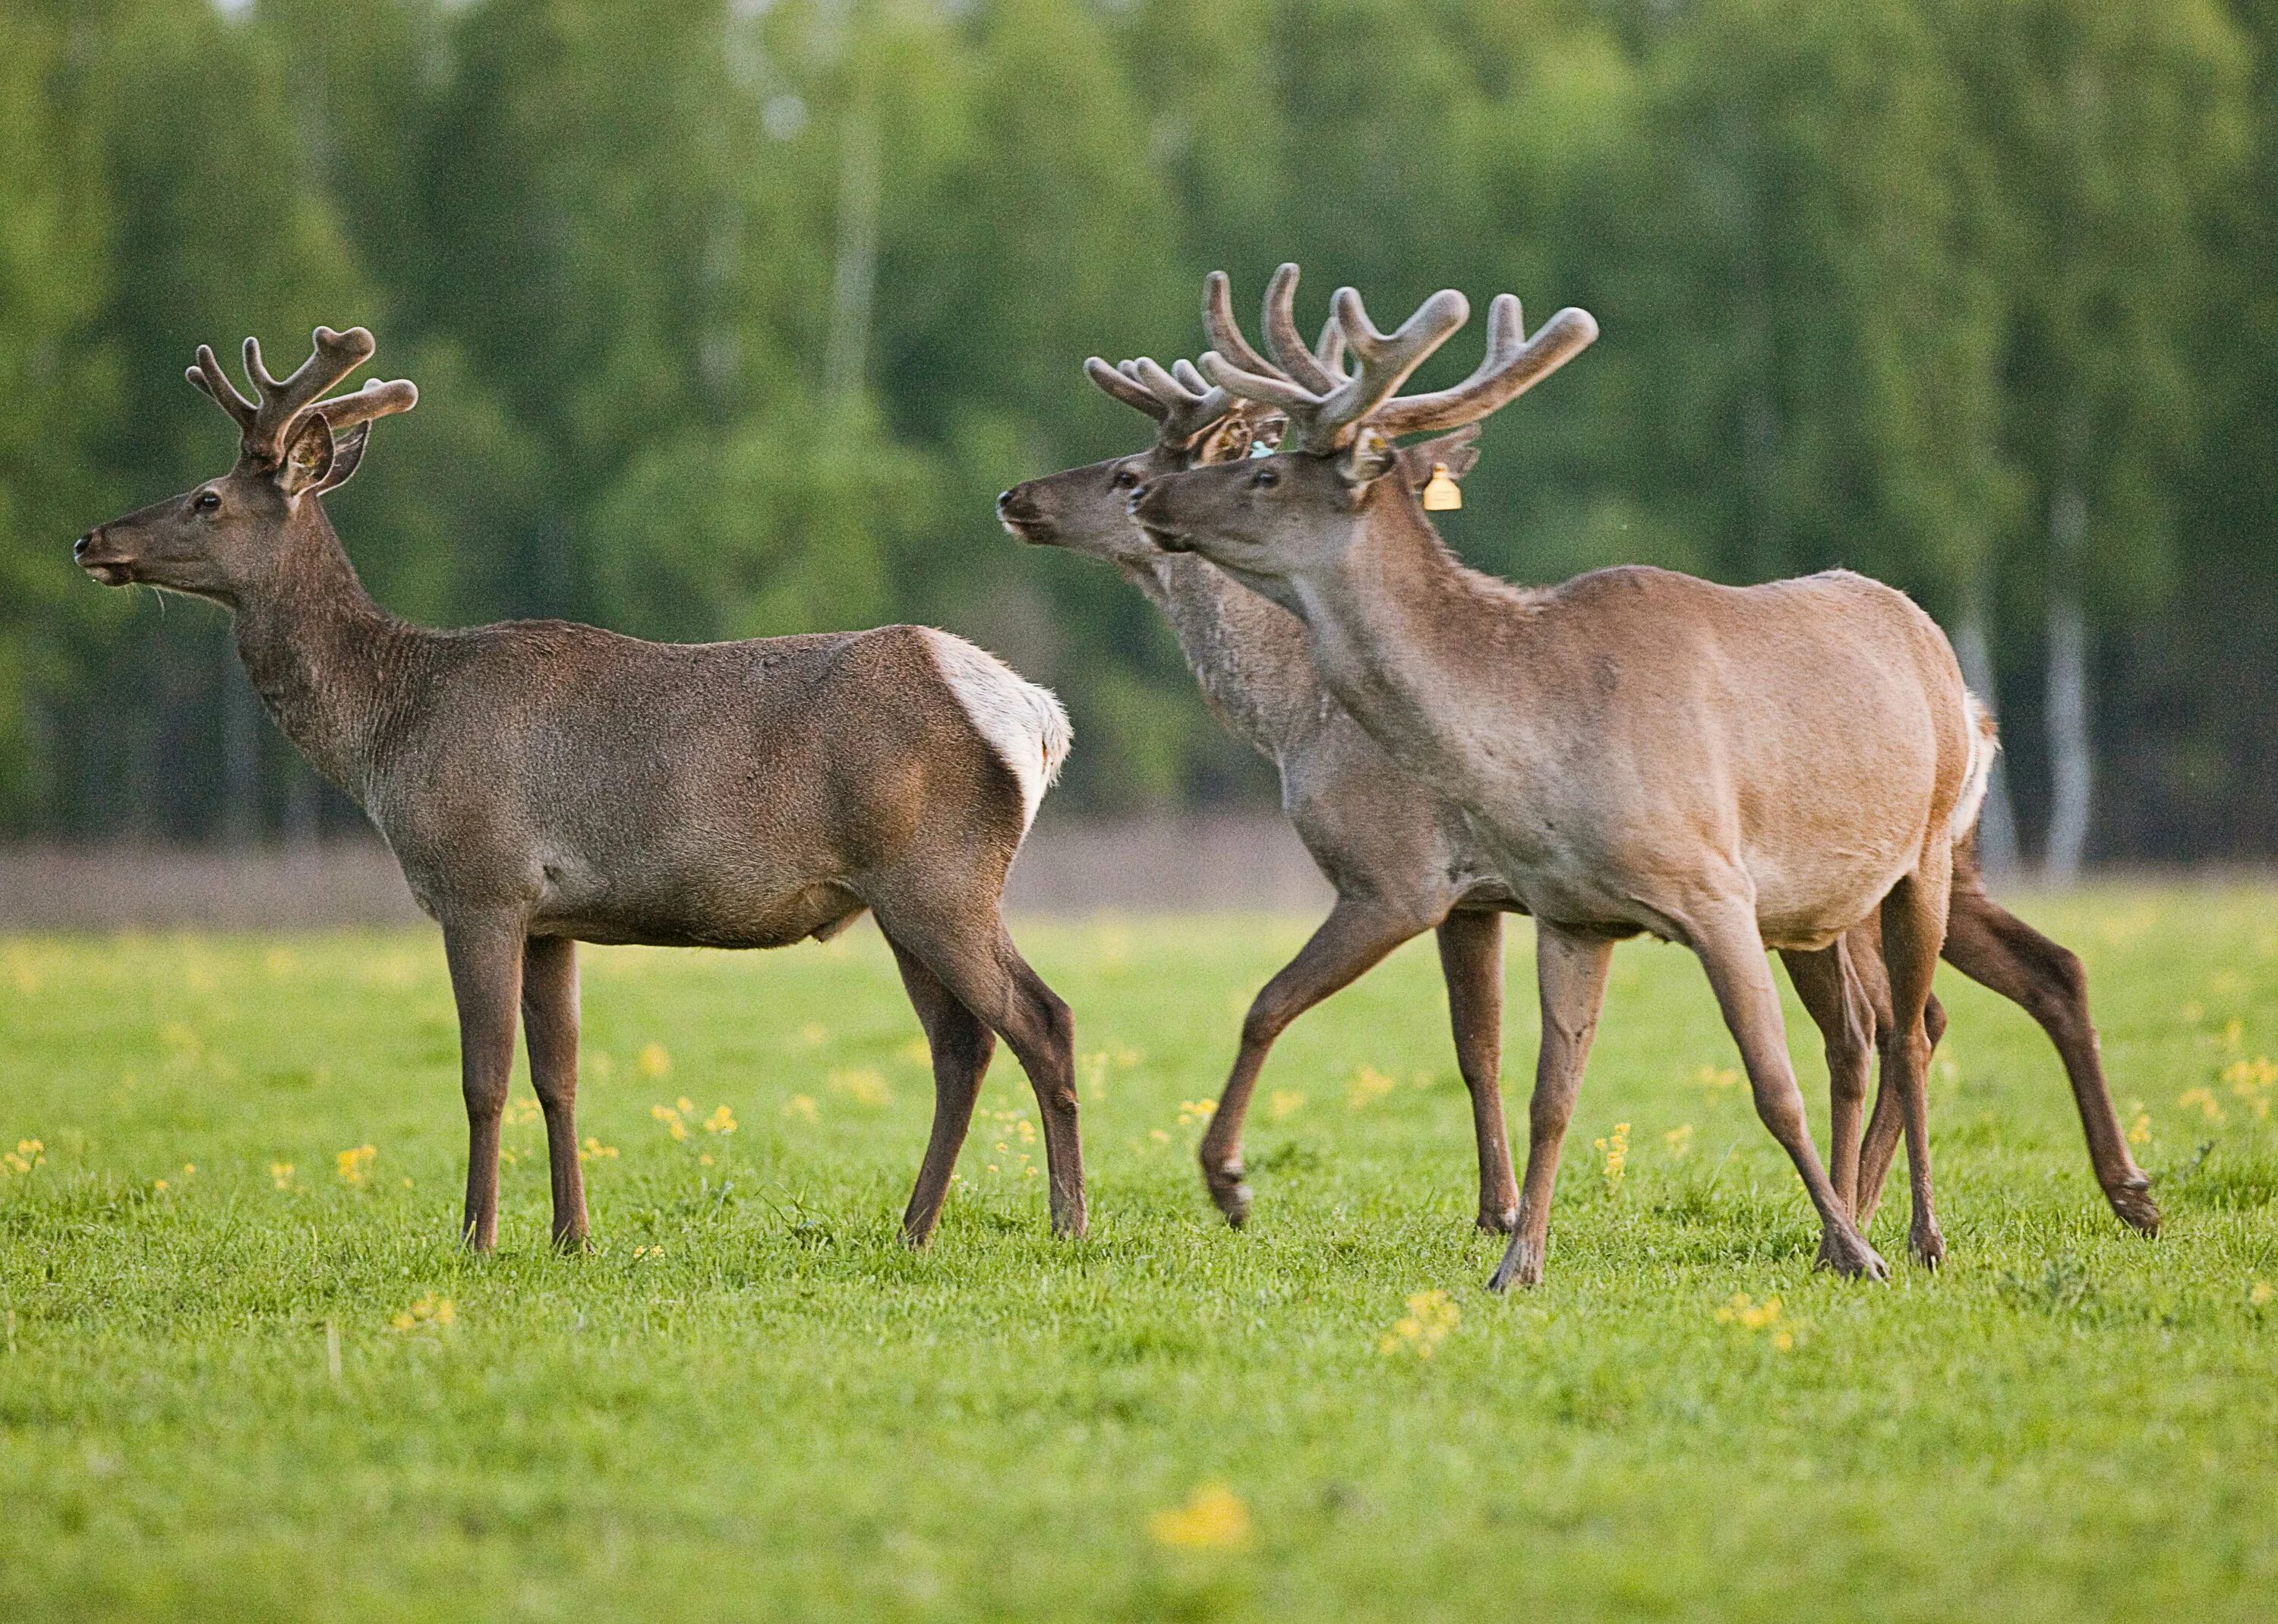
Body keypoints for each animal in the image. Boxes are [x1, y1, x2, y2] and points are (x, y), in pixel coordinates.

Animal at [75, 323, 1089, 1248]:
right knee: (962, 1045)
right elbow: (557, 1075)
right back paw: (914, 1227)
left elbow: (482, 1077)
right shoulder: (554, 919)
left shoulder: (480, 883)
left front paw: (477, 1237)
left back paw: (1065, 1222)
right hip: (900, 896)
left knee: (1042, 1019)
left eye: (207, 497)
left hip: (938, 877)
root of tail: (1039, 717)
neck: (391, 733)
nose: (90, 538)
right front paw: (573, 1235)